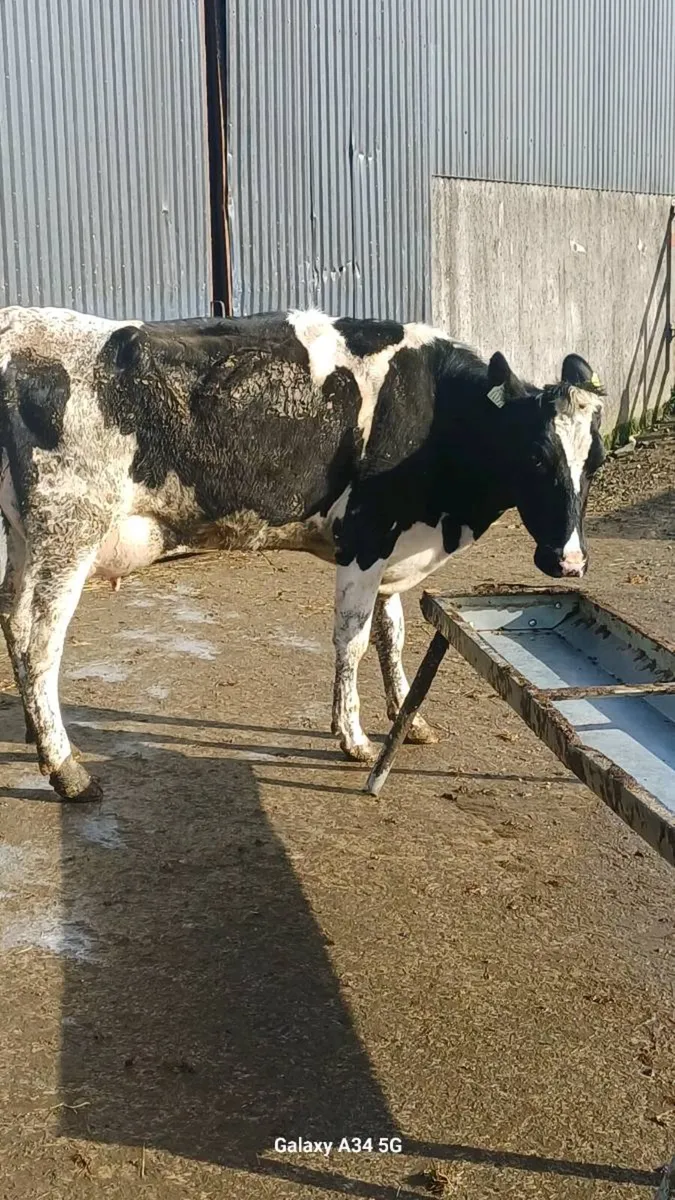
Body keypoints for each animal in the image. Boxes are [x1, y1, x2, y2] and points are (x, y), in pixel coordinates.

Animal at [0, 306, 606, 801]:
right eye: (535, 457)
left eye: (594, 460)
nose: (569, 562)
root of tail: (19, 321)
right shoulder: (365, 537)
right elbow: (352, 641)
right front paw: (354, 738)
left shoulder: (393, 549)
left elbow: (392, 635)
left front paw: (408, 720)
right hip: (69, 532)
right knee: (40, 642)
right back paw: (67, 770)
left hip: (24, 537)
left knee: (13, 620)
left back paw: (35, 732)